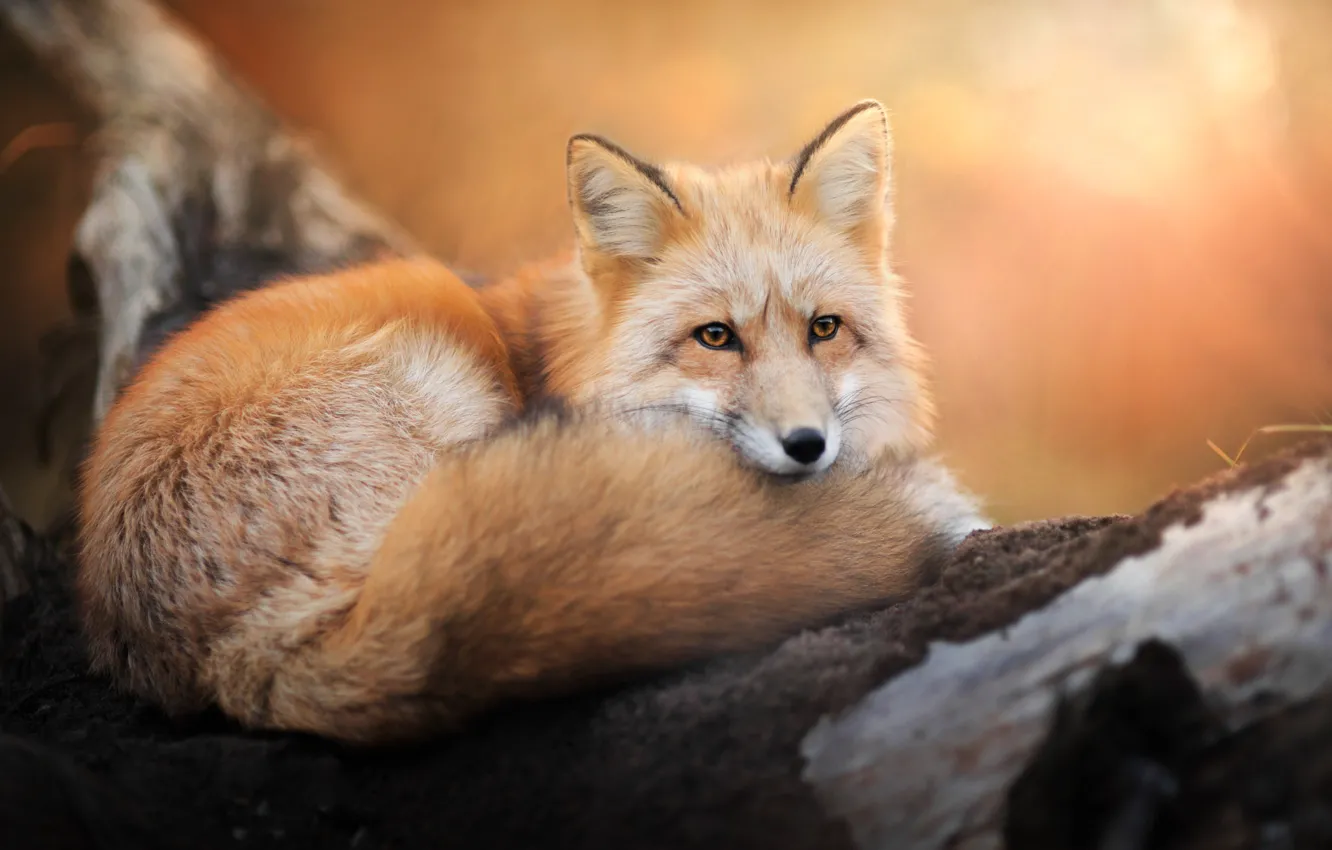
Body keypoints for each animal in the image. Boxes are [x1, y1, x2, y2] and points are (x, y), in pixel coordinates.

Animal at [76, 100, 988, 745]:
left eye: (824, 329)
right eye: (715, 337)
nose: (808, 446)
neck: (557, 354)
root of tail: (233, 658)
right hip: (440, 378)